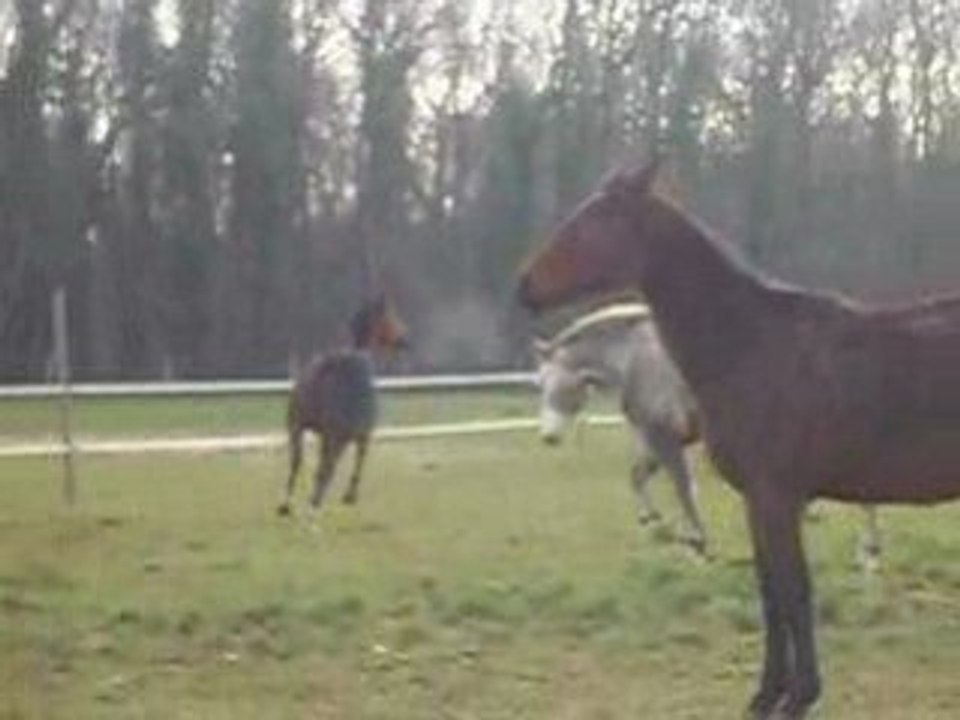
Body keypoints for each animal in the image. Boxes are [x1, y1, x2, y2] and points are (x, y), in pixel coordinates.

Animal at [277, 293, 407, 516]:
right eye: (390, 316)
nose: (404, 340)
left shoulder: (354, 435)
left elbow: (352, 462)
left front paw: (344, 496)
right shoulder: (354, 435)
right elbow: (348, 464)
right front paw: (346, 496)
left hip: (309, 430)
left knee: (303, 462)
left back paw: (299, 503)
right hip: (313, 431)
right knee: (310, 465)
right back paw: (305, 505)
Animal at [533, 303, 709, 554]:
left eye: (555, 383)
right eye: (539, 383)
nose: (549, 436)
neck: (634, 360)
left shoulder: (664, 436)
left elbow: (682, 487)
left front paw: (697, 540)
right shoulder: (658, 440)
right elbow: (638, 476)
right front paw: (650, 517)